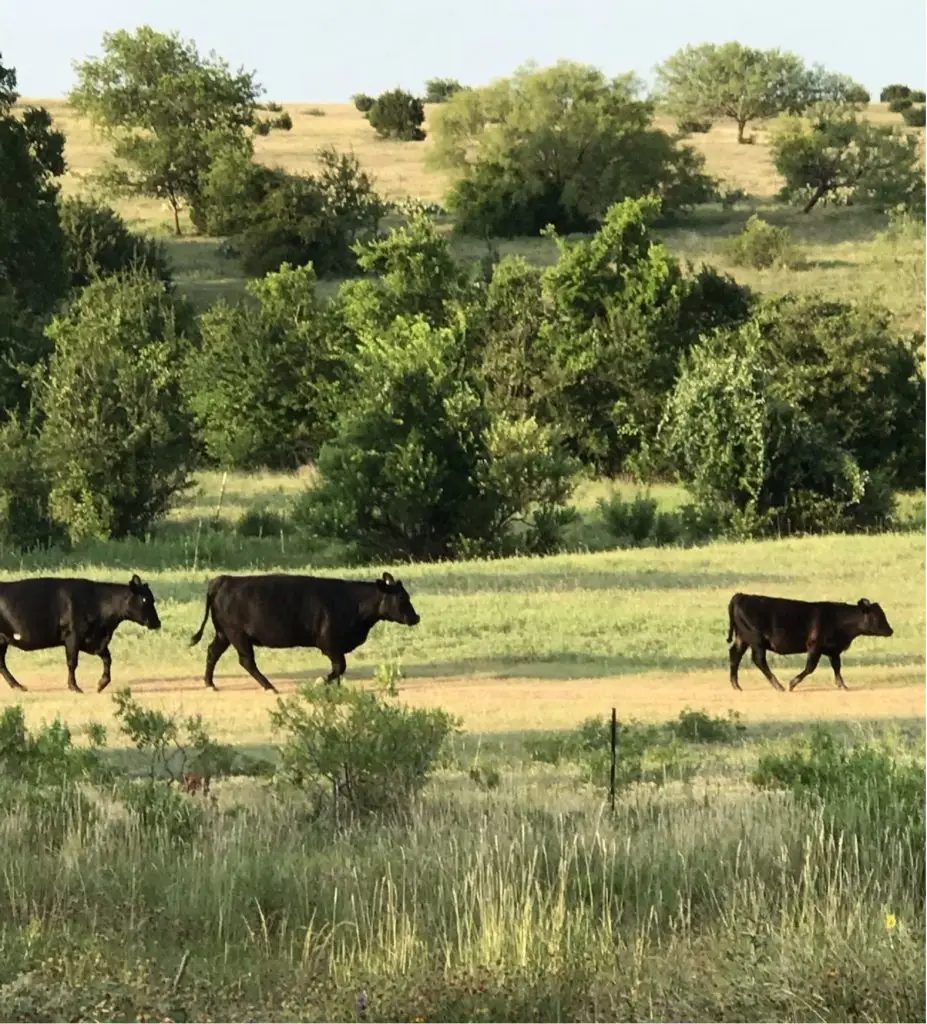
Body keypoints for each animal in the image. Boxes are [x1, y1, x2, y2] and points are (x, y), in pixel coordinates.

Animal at [0, 574, 161, 693]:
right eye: (145, 599)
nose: (157, 623)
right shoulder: (73, 636)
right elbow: (72, 662)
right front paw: (74, 687)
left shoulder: (93, 640)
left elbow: (107, 658)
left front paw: (101, 683)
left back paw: (17, 686)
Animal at [188, 571, 421, 692]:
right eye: (402, 597)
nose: (416, 617)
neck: (352, 602)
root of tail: (224, 580)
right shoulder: (330, 644)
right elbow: (340, 666)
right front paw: (322, 681)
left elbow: (339, 669)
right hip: (238, 636)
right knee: (247, 661)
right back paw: (269, 686)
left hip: (224, 634)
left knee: (212, 652)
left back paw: (210, 683)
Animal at [726, 592, 894, 692]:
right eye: (878, 616)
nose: (890, 630)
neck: (837, 618)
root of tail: (741, 596)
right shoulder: (814, 646)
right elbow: (810, 667)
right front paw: (792, 683)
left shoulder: (834, 650)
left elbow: (837, 667)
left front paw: (843, 685)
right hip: (757, 641)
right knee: (759, 660)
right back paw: (778, 685)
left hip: (742, 639)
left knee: (735, 655)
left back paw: (736, 685)